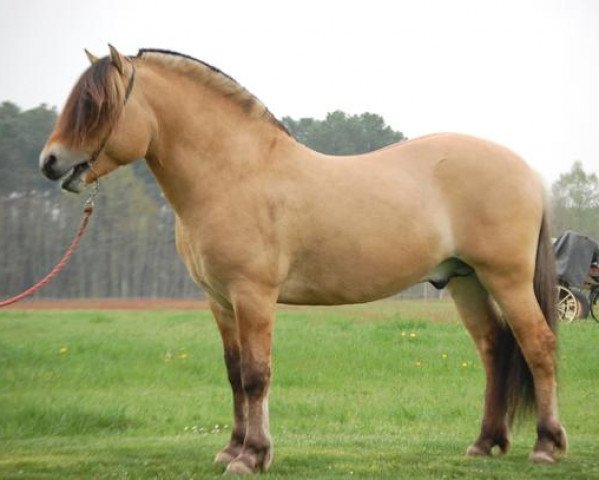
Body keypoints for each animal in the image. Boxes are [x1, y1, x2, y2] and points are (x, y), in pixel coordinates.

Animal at [41, 47, 568, 474]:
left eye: (96, 105)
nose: (50, 162)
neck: (234, 173)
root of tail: (527, 171)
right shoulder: (220, 302)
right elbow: (234, 374)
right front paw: (232, 449)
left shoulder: (253, 295)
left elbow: (256, 375)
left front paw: (253, 456)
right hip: (465, 281)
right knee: (494, 348)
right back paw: (486, 443)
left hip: (506, 278)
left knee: (538, 345)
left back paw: (546, 446)